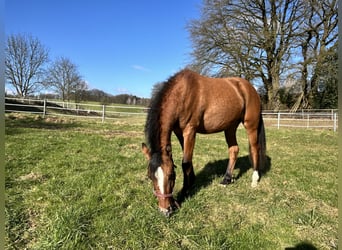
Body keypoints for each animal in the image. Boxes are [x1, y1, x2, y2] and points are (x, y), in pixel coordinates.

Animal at [142, 69, 268, 217]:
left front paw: (185, 192)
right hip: (230, 127)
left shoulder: (190, 130)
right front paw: (191, 182)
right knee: (234, 149)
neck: (182, 93)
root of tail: (250, 88)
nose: (165, 210)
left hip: (250, 125)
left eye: (171, 175)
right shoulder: (179, 132)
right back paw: (226, 179)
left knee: (254, 148)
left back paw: (254, 179)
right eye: (150, 176)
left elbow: (185, 162)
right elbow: (188, 161)